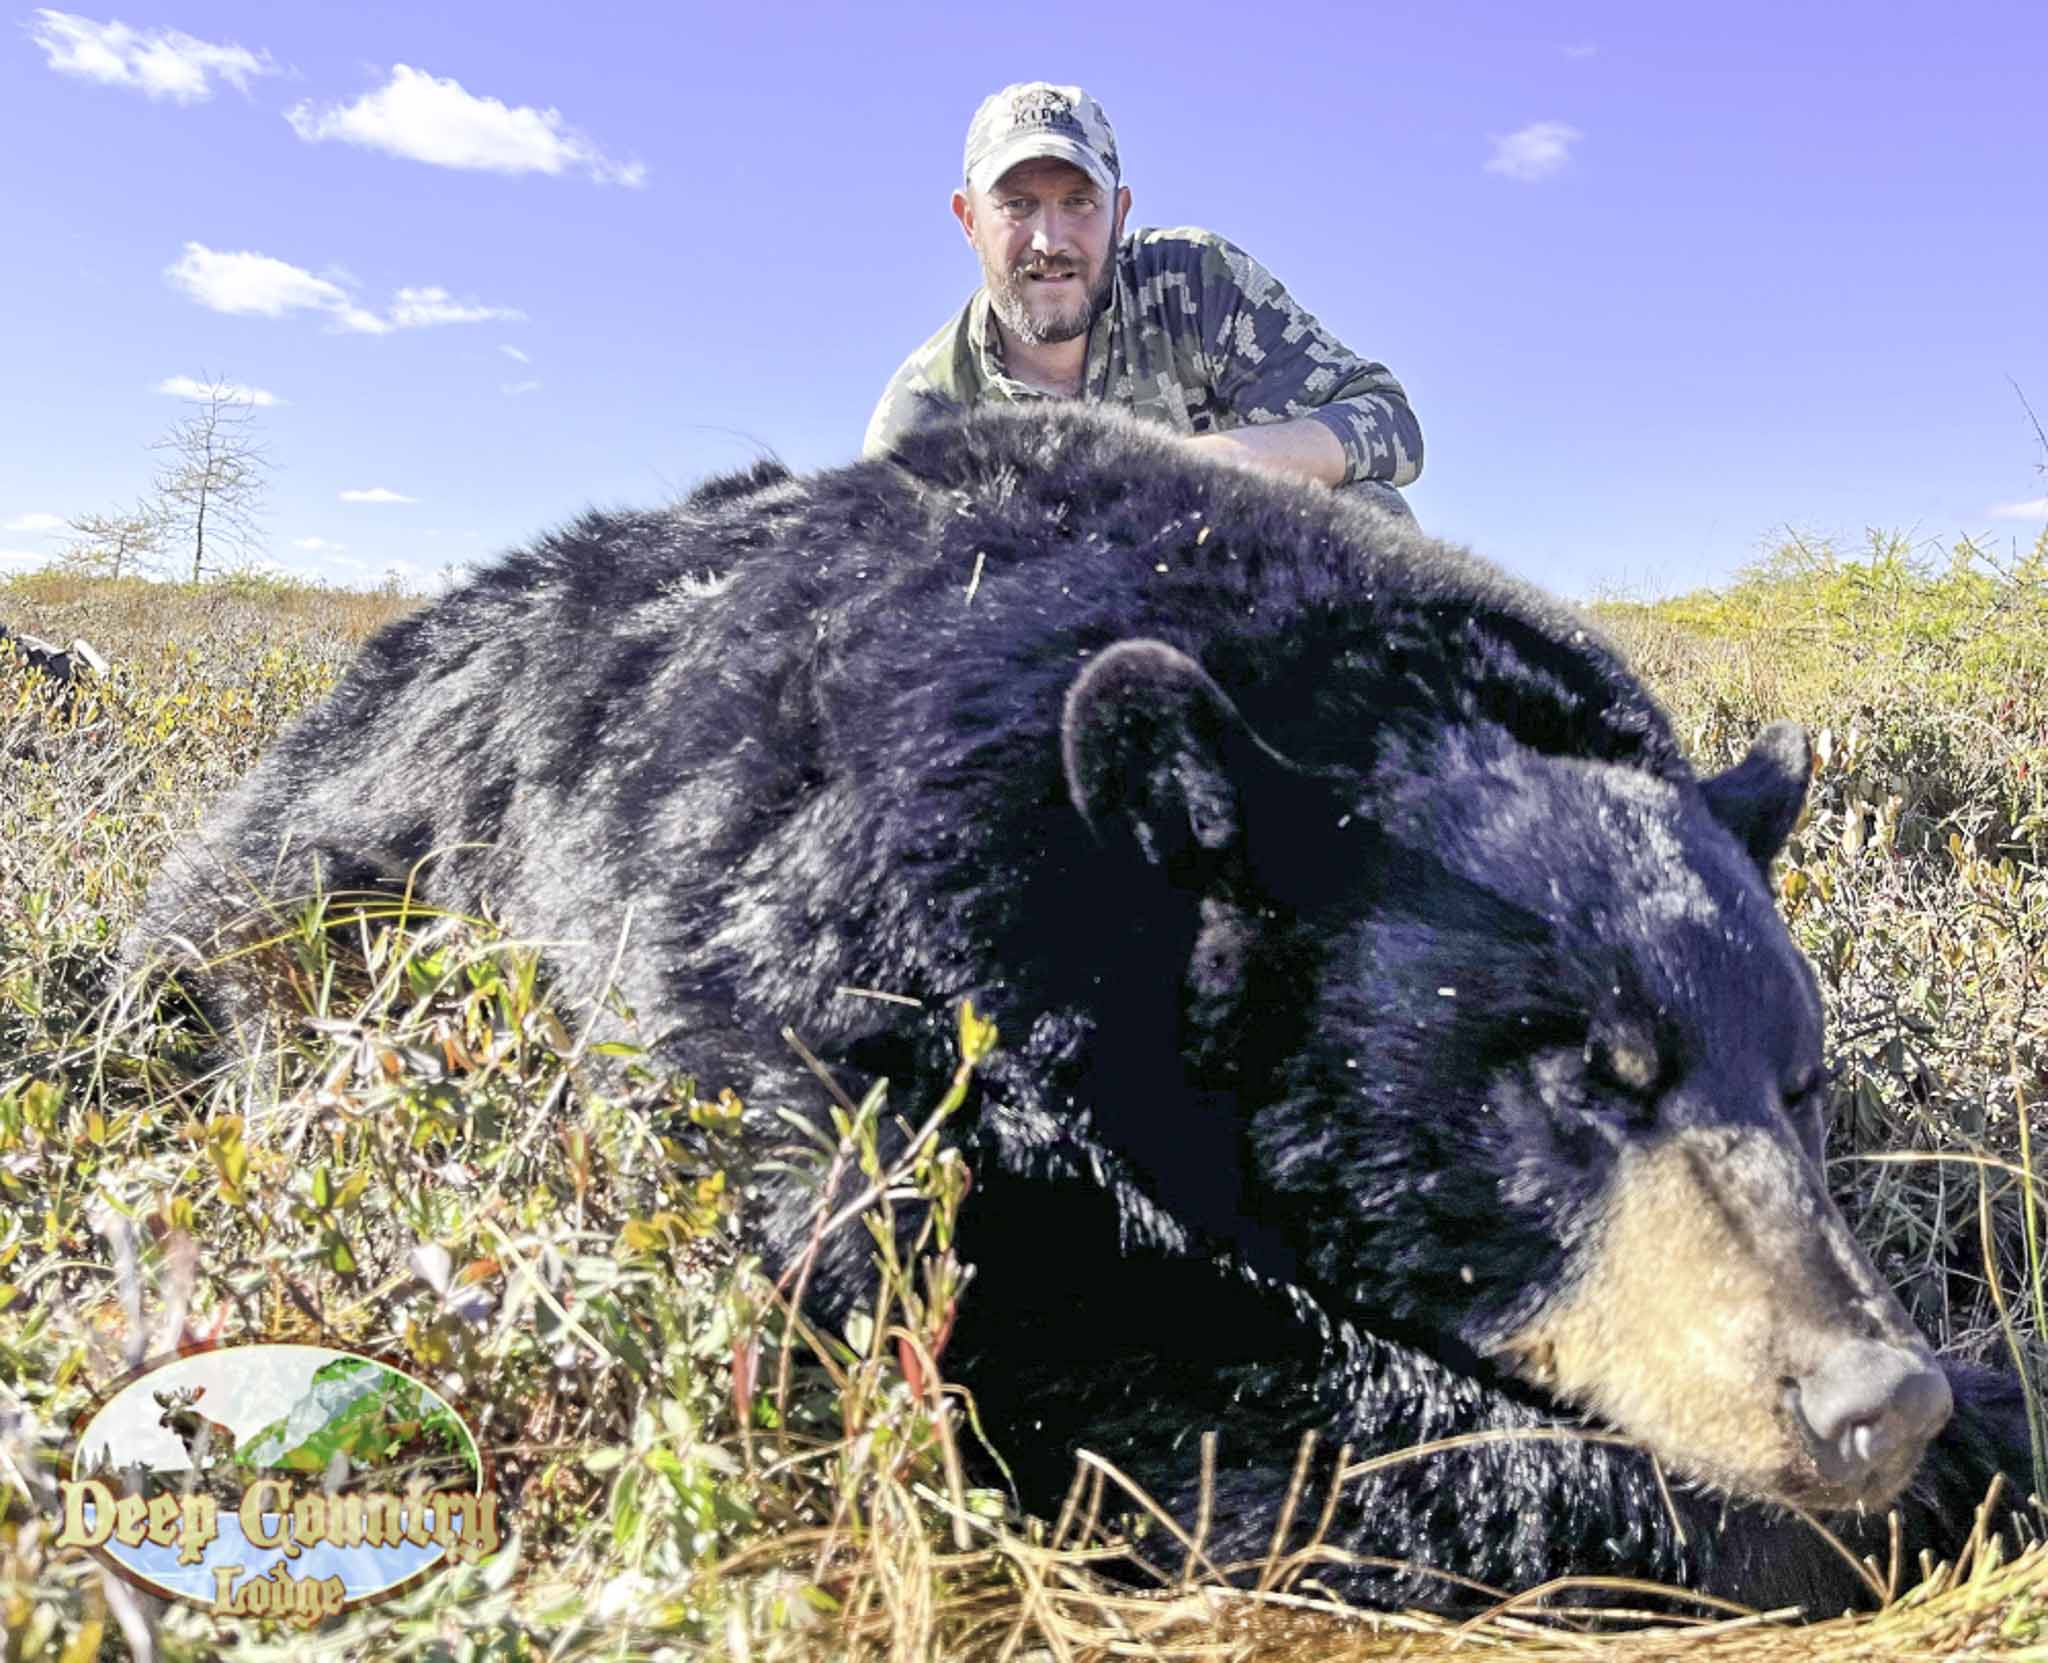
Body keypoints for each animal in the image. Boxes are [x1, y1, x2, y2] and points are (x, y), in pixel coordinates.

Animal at [122, 403, 2034, 1614]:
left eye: (1799, 1079)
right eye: (1581, 1078)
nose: (1865, 1398)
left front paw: (1984, 1408)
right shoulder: (833, 986)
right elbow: (1053, 1340)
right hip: (320, 850)